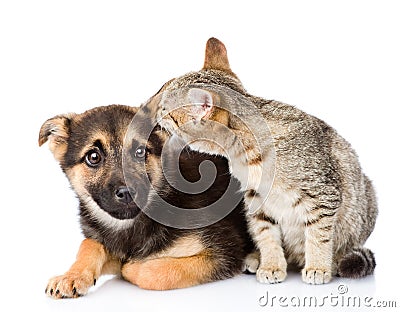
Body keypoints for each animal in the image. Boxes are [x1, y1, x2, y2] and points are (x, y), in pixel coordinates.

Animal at [40, 105, 253, 300]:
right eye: (93, 157)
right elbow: (89, 244)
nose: (127, 193)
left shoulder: (223, 250)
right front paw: (71, 276)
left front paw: (130, 267)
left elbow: (155, 273)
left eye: (140, 152)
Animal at [138, 37, 378, 284]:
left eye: (165, 110)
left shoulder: (322, 194)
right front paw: (271, 265)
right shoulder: (256, 201)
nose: (149, 107)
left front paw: (318, 266)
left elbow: (318, 236)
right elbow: (266, 236)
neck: (245, 155)